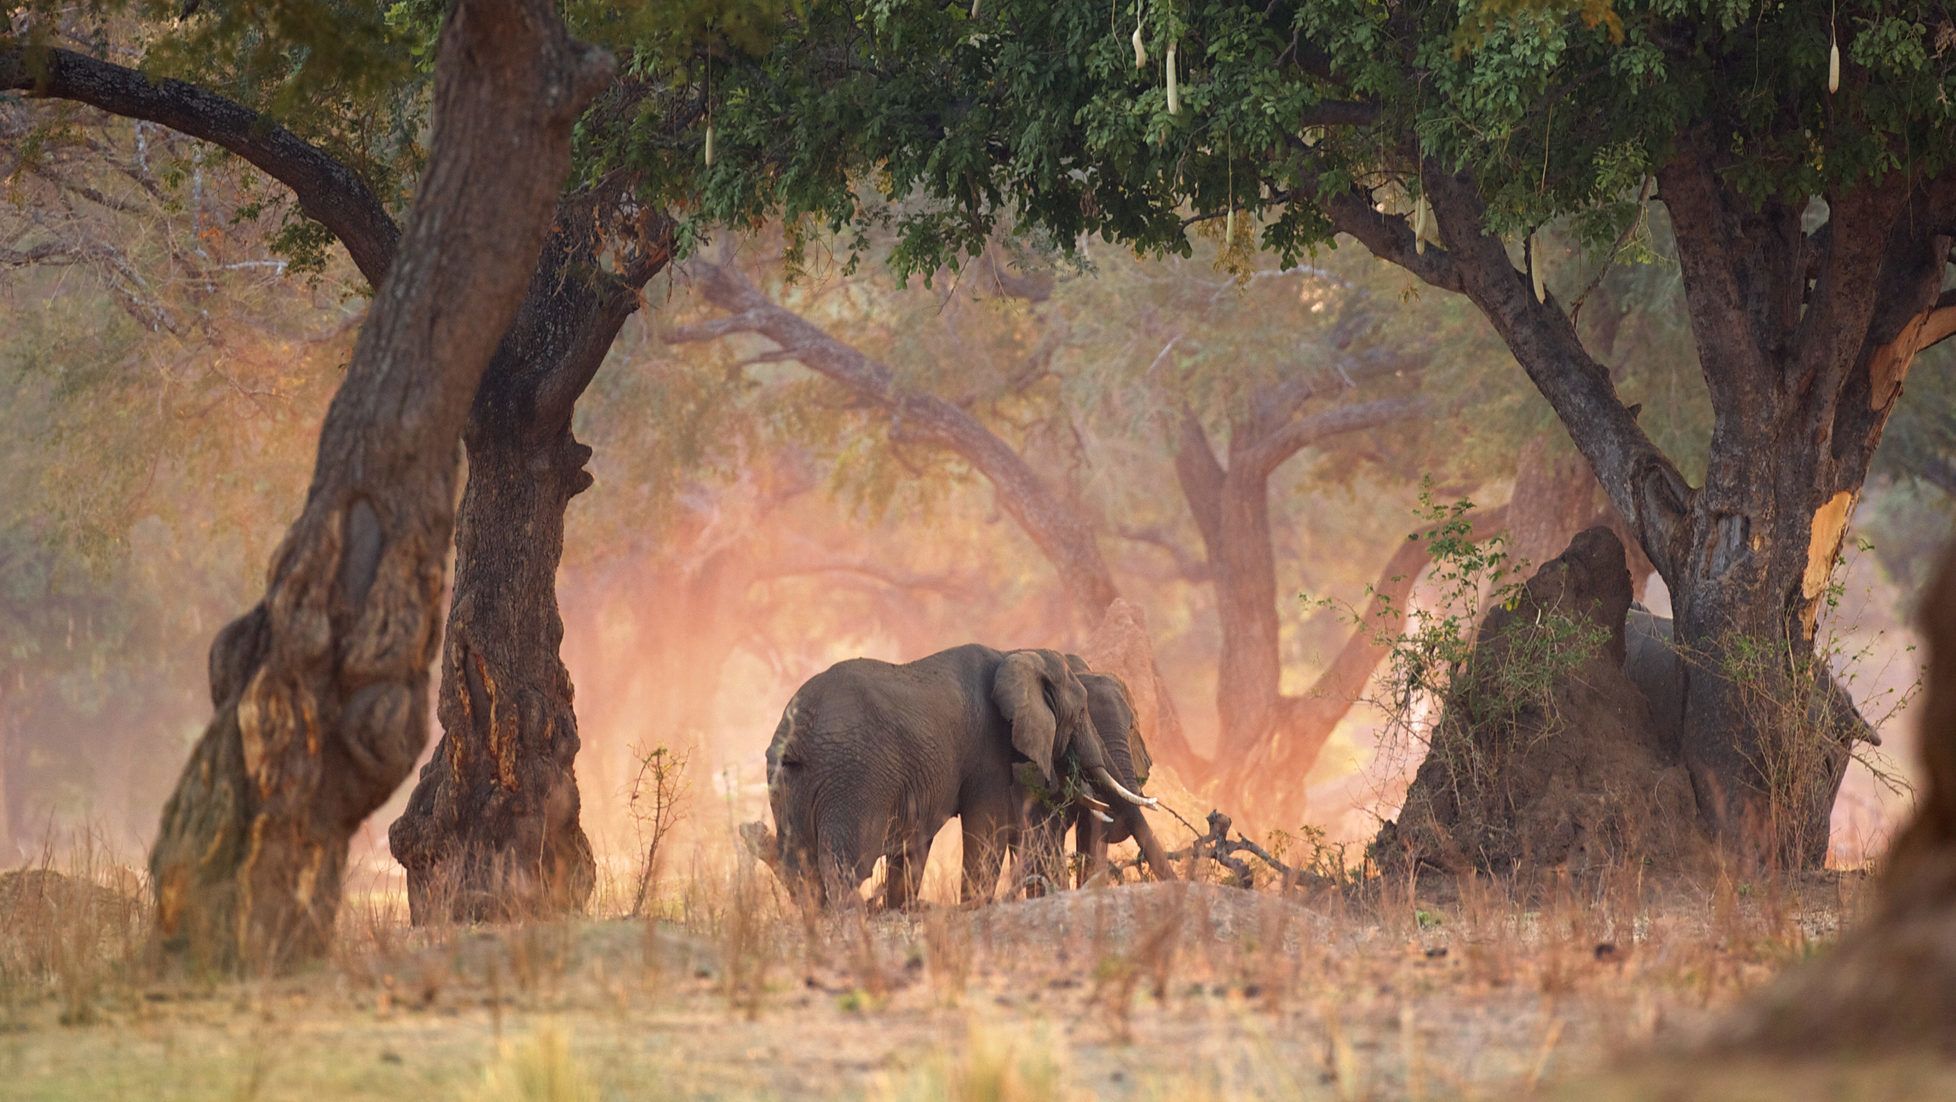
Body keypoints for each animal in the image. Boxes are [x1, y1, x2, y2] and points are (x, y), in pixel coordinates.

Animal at [751, 642, 1150, 908]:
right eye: (1081, 712)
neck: (1016, 654)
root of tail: (798, 731)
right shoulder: (987, 749)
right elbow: (987, 826)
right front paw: (974, 909)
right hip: (852, 776)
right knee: (845, 866)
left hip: (790, 783)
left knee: (800, 863)